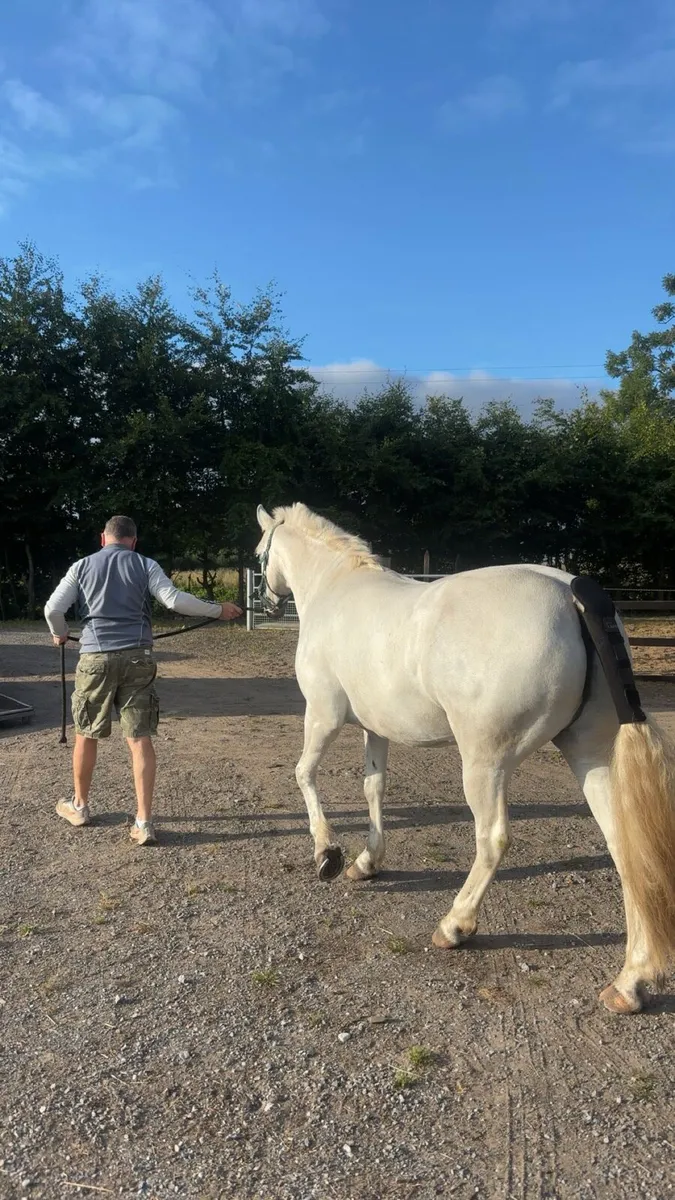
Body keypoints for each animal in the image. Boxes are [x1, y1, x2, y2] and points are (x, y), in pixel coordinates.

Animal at [255, 502, 675, 1013]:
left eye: (259, 554)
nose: (267, 600)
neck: (336, 589)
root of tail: (571, 594)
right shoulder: (376, 728)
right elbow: (374, 788)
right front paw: (366, 862)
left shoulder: (322, 715)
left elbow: (304, 774)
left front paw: (327, 854)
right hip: (589, 752)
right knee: (623, 846)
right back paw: (630, 982)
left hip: (485, 763)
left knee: (492, 839)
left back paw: (455, 925)